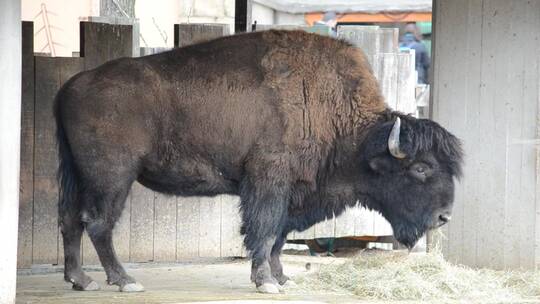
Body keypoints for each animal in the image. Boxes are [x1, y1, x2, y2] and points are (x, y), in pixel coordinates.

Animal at [54, 29, 462, 294]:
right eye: (421, 167)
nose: (444, 217)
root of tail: (71, 85)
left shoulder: (292, 192)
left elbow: (279, 235)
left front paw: (282, 278)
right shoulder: (269, 181)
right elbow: (264, 230)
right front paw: (266, 282)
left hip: (77, 174)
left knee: (70, 220)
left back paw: (81, 280)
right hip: (112, 177)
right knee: (98, 223)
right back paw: (124, 281)